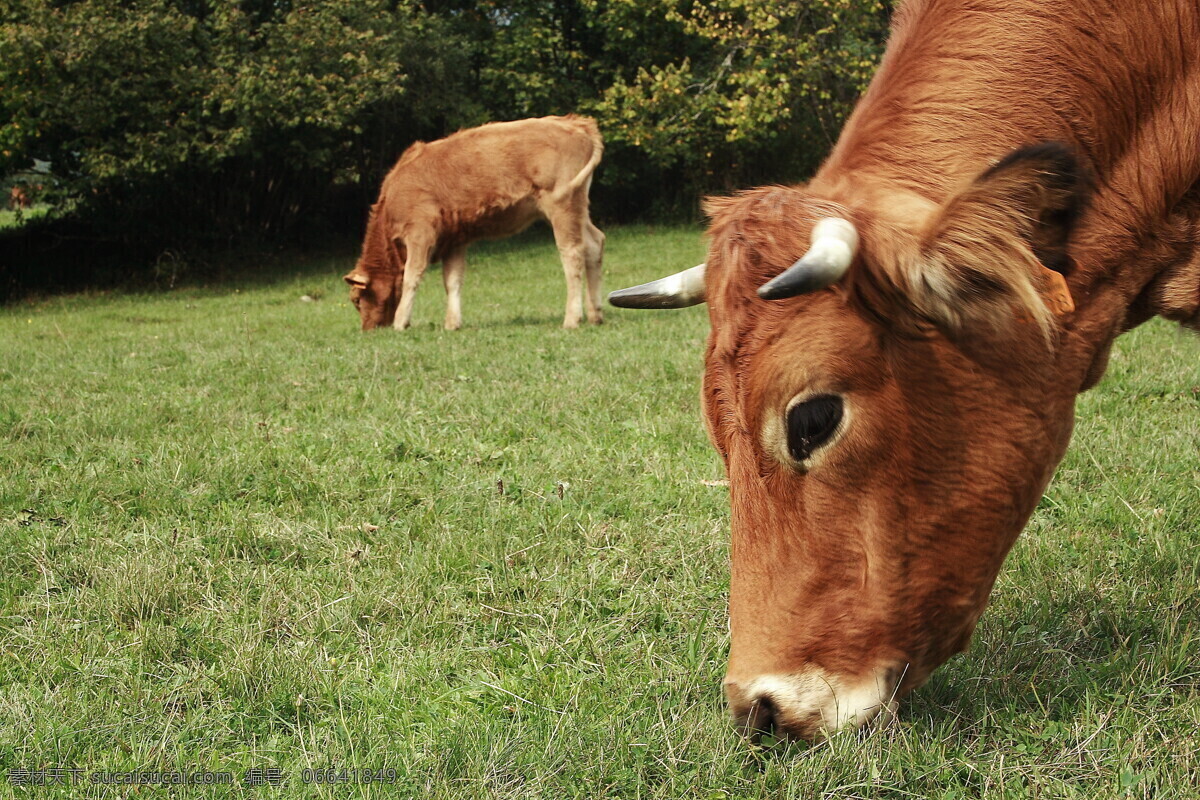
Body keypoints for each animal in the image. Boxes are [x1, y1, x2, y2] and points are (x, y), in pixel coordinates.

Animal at [348, 113, 609, 331]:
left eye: (357, 300)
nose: (367, 329)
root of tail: (575, 123)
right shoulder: (453, 240)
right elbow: (452, 281)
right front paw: (452, 323)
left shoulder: (419, 233)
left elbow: (412, 275)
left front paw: (401, 322)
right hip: (577, 209)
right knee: (594, 244)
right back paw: (595, 315)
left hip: (562, 207)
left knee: (572, 253)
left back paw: (572, 319)